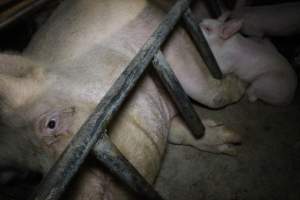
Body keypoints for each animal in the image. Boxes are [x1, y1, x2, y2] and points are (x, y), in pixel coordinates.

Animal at [0, 0, 246, 200]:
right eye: (33, 175)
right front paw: (228, 142)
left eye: (51, 124)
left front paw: (239, 89)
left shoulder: (160, 29)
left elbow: (207, 91)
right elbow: (176, 129)